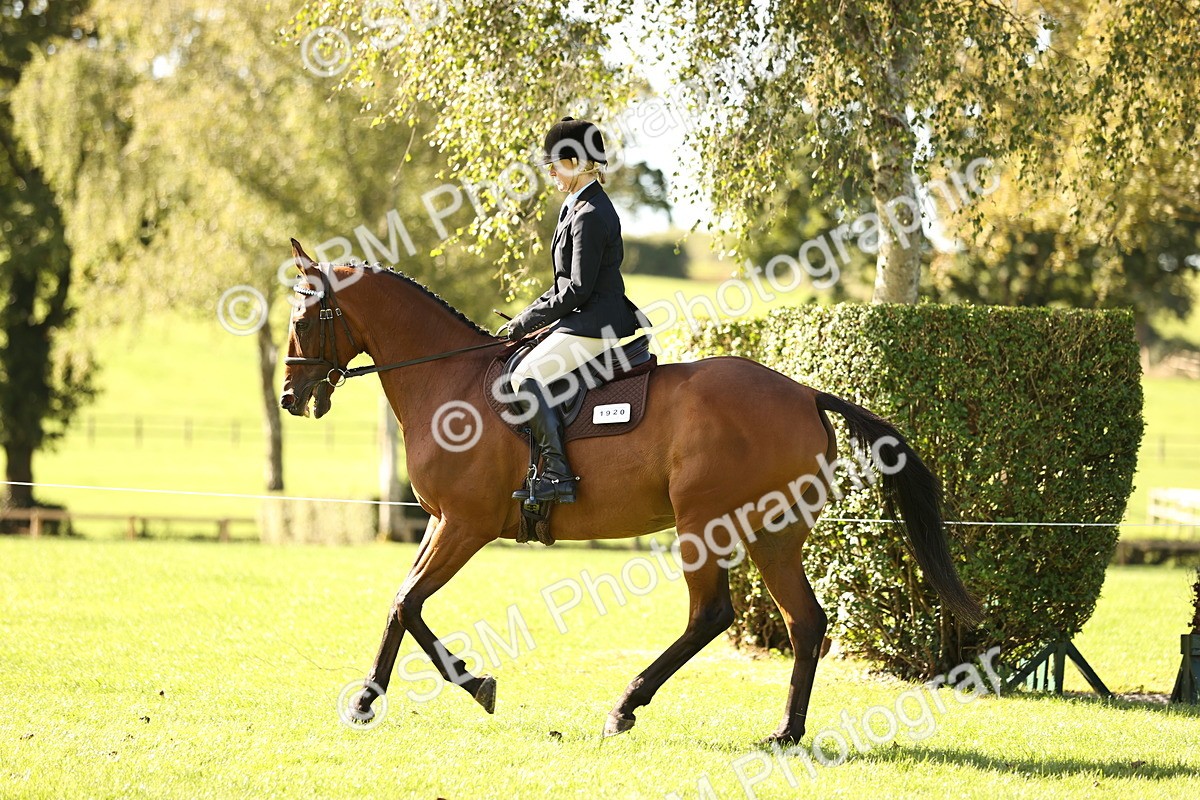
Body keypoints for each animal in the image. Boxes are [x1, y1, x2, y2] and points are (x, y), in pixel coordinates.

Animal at [279, 239, 981, 743]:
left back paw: (626, 706)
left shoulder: (466, 525)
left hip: (705, 523)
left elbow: (408, 602)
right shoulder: (438, 522)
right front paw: (368, 698)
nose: (291, 395)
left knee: (711, 615)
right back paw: (784, 732)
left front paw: (472, 685)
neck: (450, 381)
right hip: (771, 533)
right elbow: (401, 603)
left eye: (306, 318)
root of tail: (805, 393)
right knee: (805, 622)